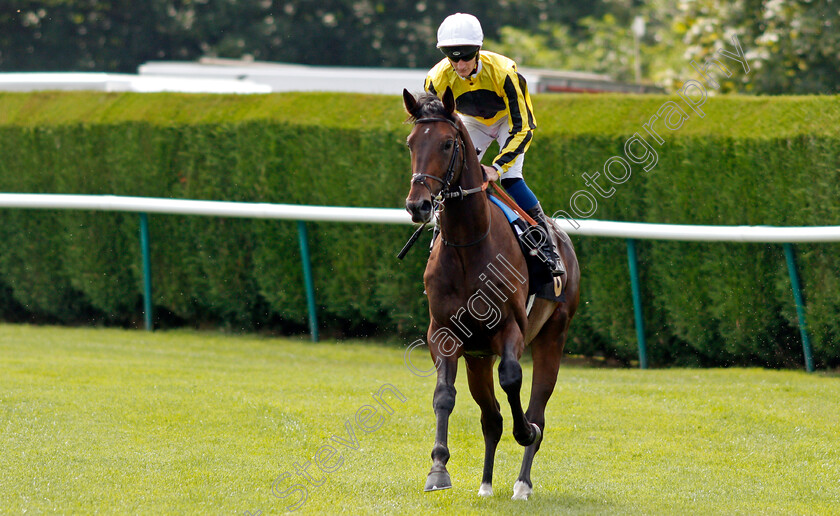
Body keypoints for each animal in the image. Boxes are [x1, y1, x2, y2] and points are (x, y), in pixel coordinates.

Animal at [402, 88, 576, 500]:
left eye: (447, 143)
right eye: (411, 143)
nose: (418, 205)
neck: (468, 246)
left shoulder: (511, 328)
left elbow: (512, 380)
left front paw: (524, 431)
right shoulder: (444, 333)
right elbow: (444, 395)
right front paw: (438, 469)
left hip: (553, 336)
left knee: (536, 409)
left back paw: (523, 482)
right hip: (477, 359)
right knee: (490, 417)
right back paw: (485, 484)